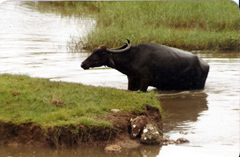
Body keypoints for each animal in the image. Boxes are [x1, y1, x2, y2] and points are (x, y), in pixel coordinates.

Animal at [80, 39, 208, 92]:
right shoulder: (131, 80)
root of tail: (205, 64)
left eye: (100, 53)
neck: (133, 58)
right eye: (93, 51)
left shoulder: (144, 82)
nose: (83, 64)